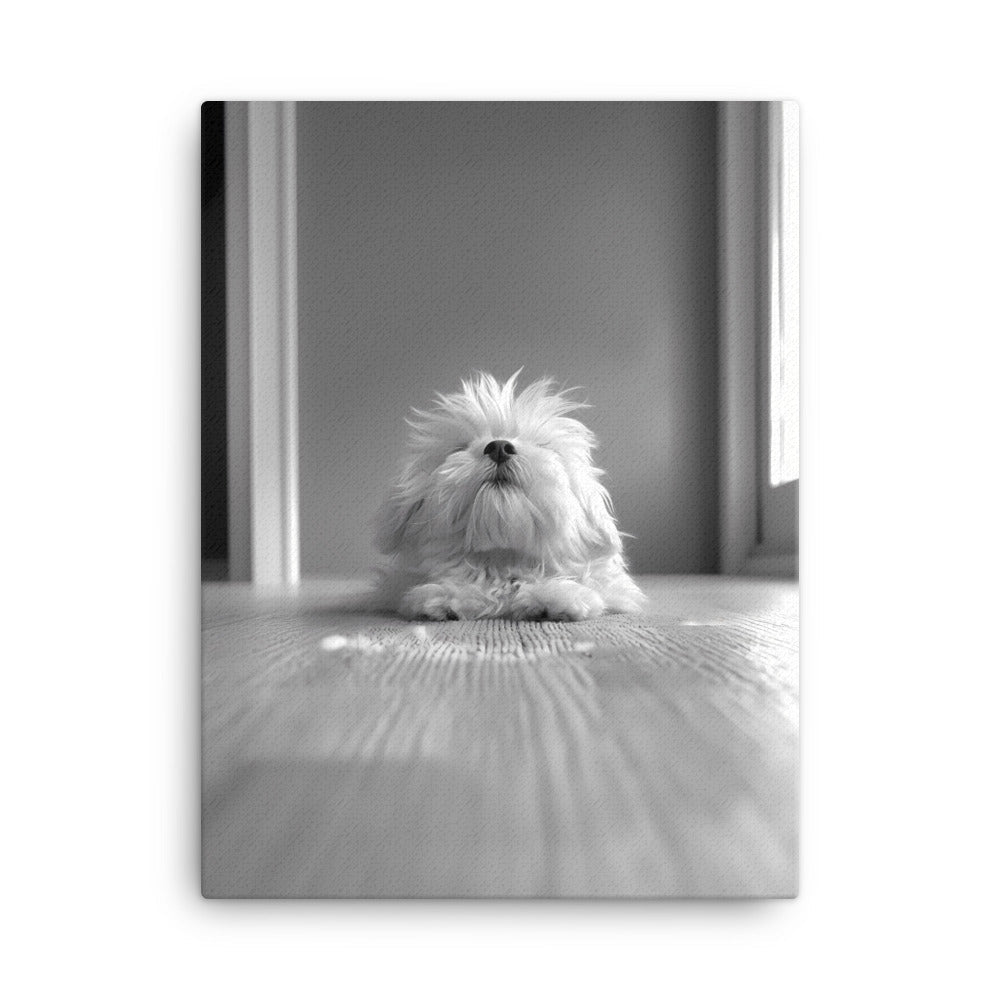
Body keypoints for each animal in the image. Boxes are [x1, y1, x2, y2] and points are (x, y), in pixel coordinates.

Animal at [372, 372, 644, 620]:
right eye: (460, 447)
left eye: (542, 446)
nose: (499, 447)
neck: (504, 560)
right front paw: (447, 597)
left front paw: (556, 596)